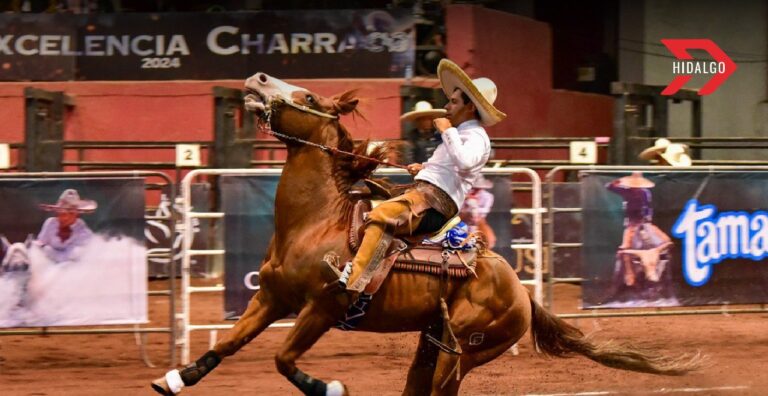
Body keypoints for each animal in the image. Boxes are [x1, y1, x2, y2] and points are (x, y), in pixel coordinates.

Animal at [150, 73, 704, 396]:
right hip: (432, 342)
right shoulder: (270, 299)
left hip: (462, 351)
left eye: (306, 96)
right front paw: (174, 377)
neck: (315, 223)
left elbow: (284, 359)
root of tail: (522, 293)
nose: (258, 76)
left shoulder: (323, 308)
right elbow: (228, 344)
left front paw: (329, 387)